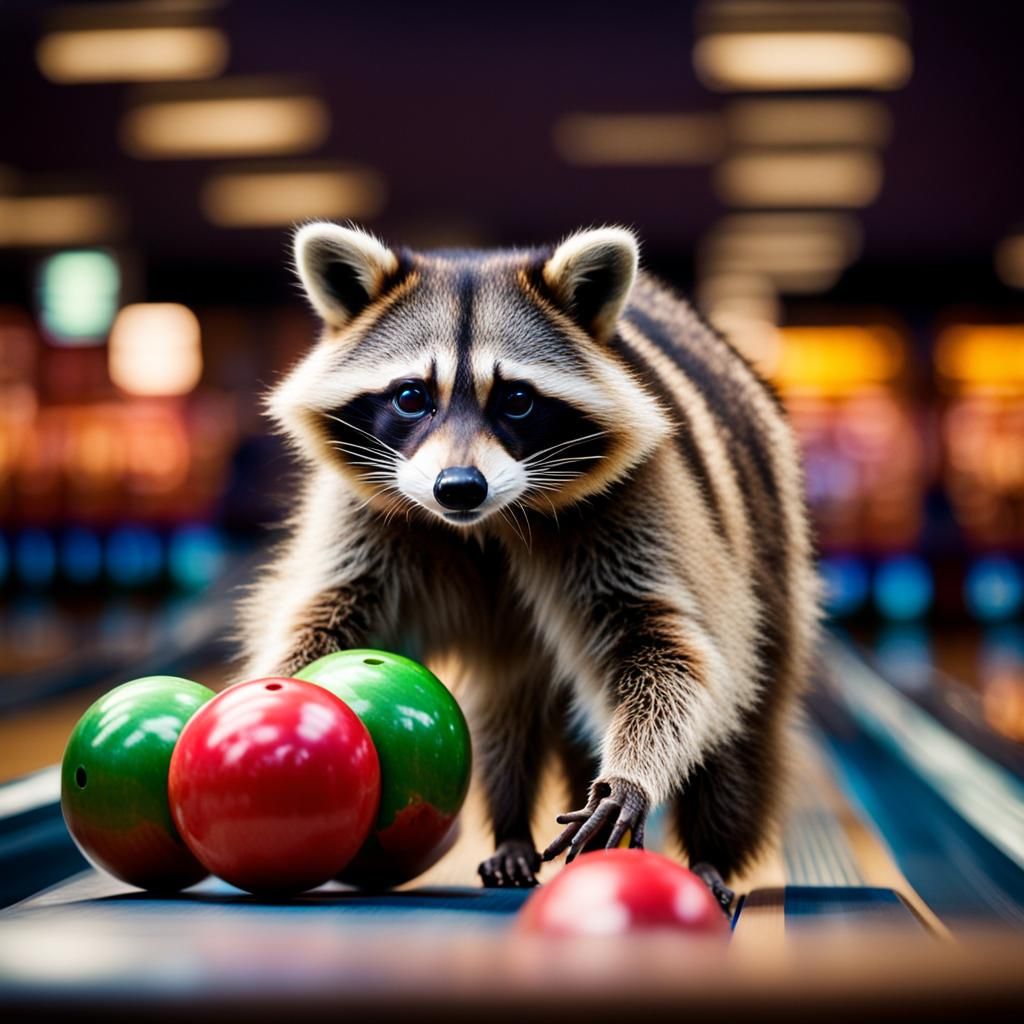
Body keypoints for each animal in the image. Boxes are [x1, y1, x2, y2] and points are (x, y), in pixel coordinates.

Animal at [241, 222, 819, 899]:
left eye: (516, 400)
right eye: (411, 397)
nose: (457, 488)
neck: (486, 523)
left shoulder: (642, 501)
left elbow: (671, 651)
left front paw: (633, 774)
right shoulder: (371, 512)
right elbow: (332, 609)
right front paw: (273, 687)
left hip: (766, 547)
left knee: (744, 716)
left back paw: (710, 853)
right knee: (507, 706)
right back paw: (512, 829)